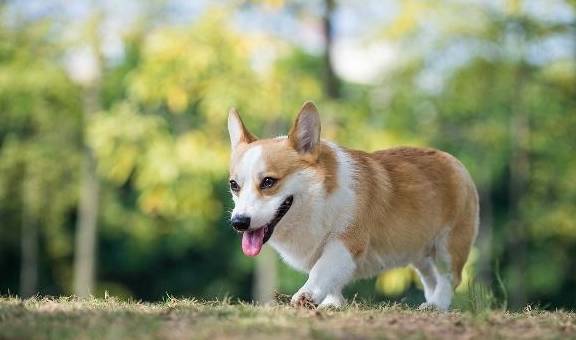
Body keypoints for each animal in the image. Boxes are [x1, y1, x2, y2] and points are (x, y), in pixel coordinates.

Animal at [227, 101, 480, 310]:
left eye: (269, 182)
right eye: (234, 185)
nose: (238, 223)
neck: (317, 198)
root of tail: (453, 160)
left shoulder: (346, 241)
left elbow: (322, 269)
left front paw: (307, 296)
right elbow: (331, 278)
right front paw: (333, 303)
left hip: (449, 245)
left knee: (449, 278)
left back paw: (437, 304)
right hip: (421, 254)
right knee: (431, 279)